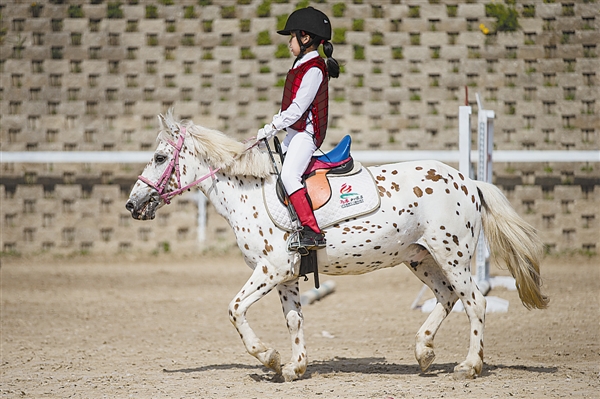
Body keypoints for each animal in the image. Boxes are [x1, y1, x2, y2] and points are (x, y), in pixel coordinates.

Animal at [125, 110, 548, 384]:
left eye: (160, 157)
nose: (132, 205)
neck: (248, 193)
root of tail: (468, 181)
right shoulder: (287, 276)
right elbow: (294, 320)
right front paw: (293, 367)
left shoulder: (271, 269)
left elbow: (235, 309)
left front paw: (268, 357)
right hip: (420, 257)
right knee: (447, 297)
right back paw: (424, 353)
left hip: (453, 255)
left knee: (474, 301)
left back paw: (469, 365)